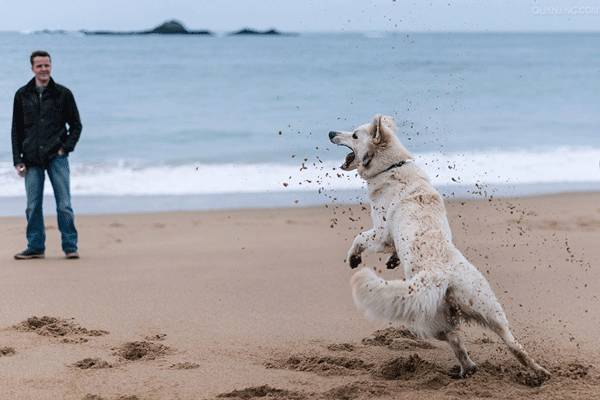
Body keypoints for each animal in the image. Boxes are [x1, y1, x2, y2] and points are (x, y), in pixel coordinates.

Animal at [330, 115, 552, 378]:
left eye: (355, 135)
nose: (331, 133)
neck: (392, 166)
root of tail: (439, 276)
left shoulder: (381, 231)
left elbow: (360, 238)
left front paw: (354, 258)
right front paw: (393, 259)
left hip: (430, 318)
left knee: (464, 342)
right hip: (481, 309)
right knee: (502, 343)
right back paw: (531, 371)